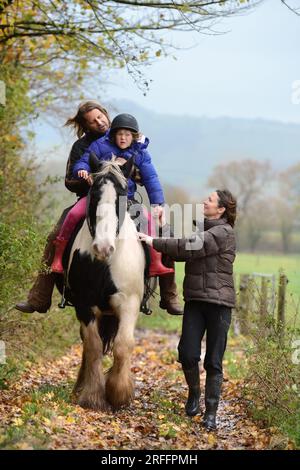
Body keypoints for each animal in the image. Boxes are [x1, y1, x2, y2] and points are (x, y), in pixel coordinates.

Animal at [60, 155, 145, 412]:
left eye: (122, 195)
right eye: (94, 194)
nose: (103, 247)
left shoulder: (129, 304)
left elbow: (123, 345)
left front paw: (118, 393)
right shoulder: (84, 304)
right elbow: (94, 346)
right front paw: (93, 396)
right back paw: (80, 386)